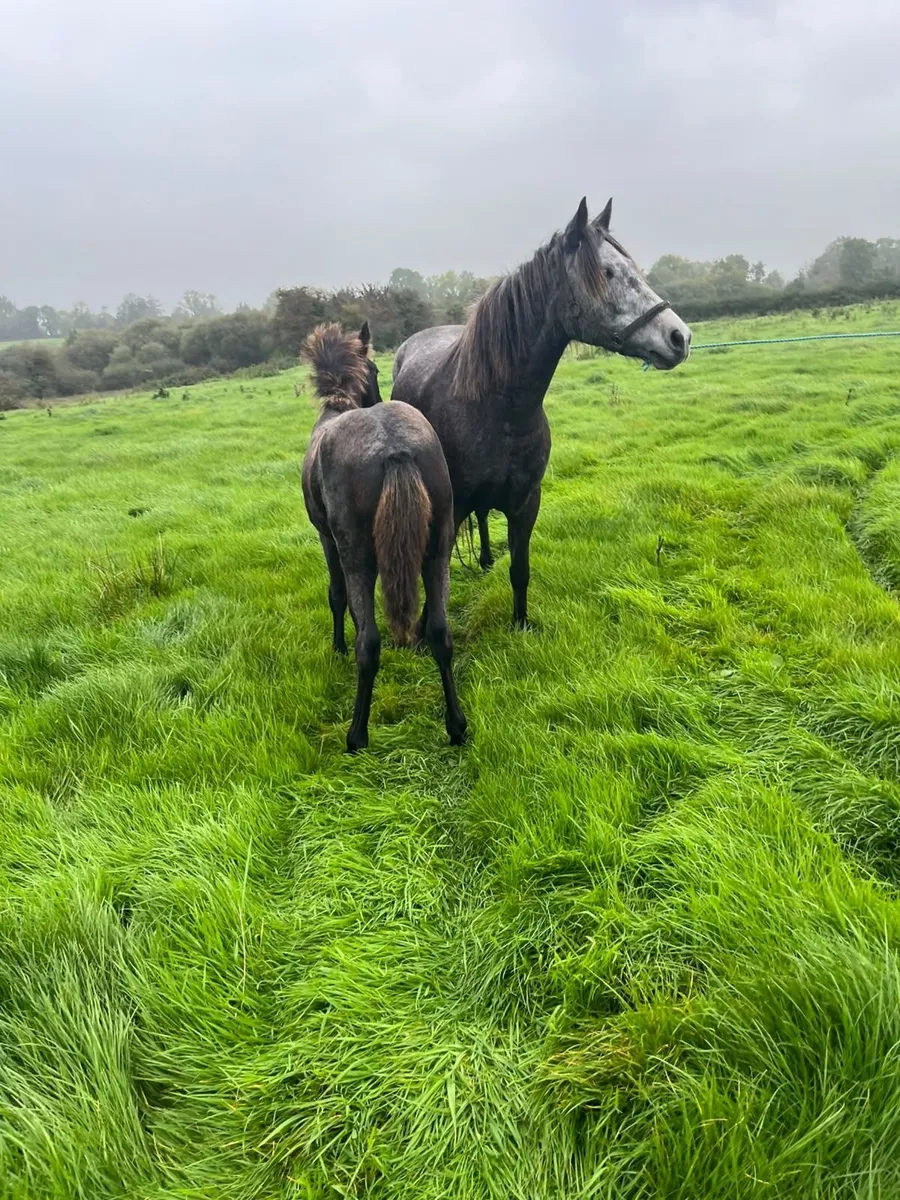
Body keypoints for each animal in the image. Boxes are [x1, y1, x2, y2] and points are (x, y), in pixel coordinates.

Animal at [301, 322, 467, 752]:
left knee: (370, 643)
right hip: (437, 552)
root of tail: (393, 447)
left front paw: (338, 648)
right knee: (440, 633)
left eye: (373, 369)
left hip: (357, 557)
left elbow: (337, 596)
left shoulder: (328, 541)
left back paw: (357, 735)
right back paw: (457, 726)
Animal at [391, 197, 692, 628]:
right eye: (607, 272)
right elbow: (438, 576)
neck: (499, 410)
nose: (680, 337)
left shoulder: (526, 503)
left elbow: (520, 569)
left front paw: (520, 623)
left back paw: (485, 560)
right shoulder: (452, 508)